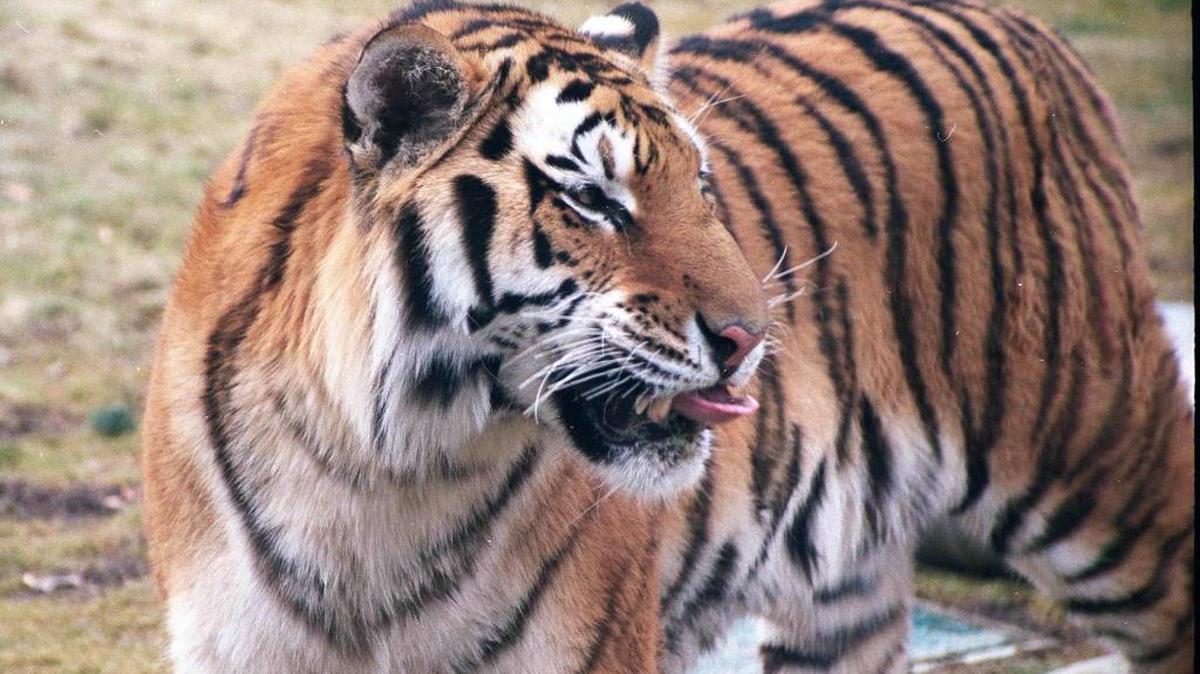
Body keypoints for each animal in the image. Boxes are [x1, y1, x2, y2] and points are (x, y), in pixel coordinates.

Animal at [140, 0, 1195, 672]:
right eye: (594, 199)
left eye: (701, 183)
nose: (753, 337)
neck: (375, 476)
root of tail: (1029, 26)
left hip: (1102, 468)